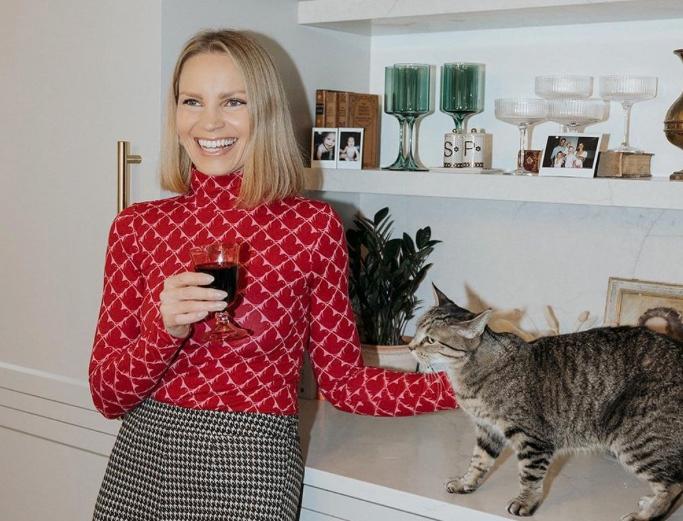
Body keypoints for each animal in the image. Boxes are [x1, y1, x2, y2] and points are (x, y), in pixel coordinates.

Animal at [408, 286, 680, 516]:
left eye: (430, 339)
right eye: (417, 328)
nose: (409, 346)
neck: (469, 373)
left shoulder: (532, 438)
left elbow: (529, 474)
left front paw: (525, 502)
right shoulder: (487, 430)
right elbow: (478, 462)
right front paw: (465, 483)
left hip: (635, 439)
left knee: (673, 485)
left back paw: (644, 515)